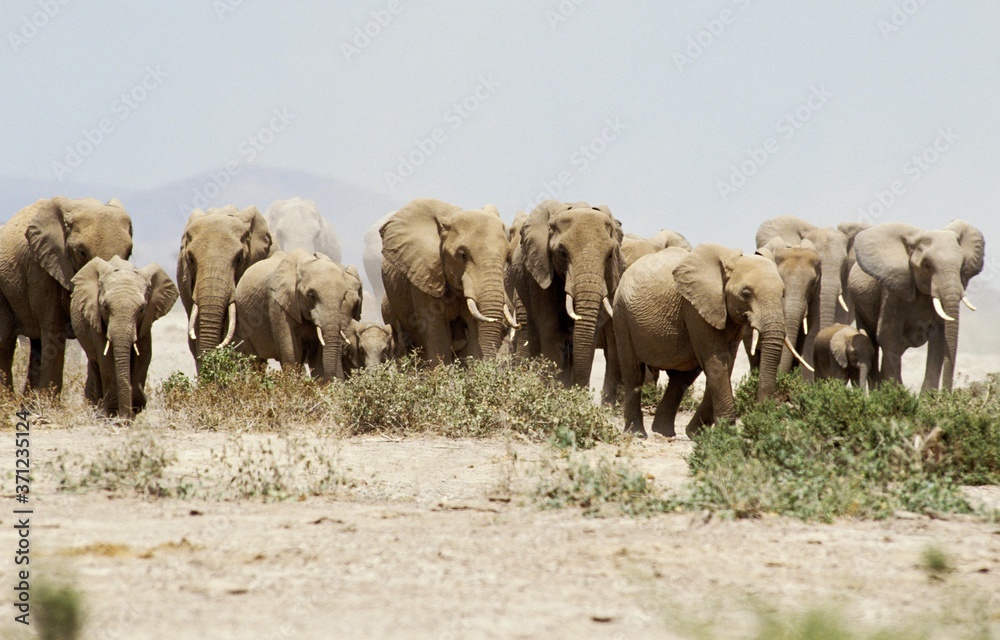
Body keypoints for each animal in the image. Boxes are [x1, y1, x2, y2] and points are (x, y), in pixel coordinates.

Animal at [0, 197, 133, 392]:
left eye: (129, 252)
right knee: (7, 341)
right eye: (82, 252)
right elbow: (54, 333)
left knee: (37, 345)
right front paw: (48, 400)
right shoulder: (42, 269)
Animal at [69, 257, 178, 418]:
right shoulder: (95, 317)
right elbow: (106, 359)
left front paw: (135, 408)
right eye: (105, 307)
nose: (125, 418)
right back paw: (98, 409)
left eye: (142, 309)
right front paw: (114, 414)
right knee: (95, 363)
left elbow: (143, 356)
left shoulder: (146, 322)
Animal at [234, 250, 362, 381]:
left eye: (343, 297)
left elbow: (318, 360)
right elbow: (291, 354)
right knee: (255, 360)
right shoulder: (277, 304)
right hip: (245, 321)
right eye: (311, 295)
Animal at [614, 244, 809, 437]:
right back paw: (637, 433)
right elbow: (717, 360)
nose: (761, 417)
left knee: (682, 377)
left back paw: (664, 432)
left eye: (783, 294)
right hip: (622, 314)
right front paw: (727, 434)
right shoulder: (695, 308)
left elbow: (726, 361)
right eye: (746, 294)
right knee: (633, 372)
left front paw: (697, 433)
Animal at [848, 220, 984, 392]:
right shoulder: (892, 292)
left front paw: (928, 397)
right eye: (927, 265)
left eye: (962, 265)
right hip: (860, 305)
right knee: (871, 340)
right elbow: (888, 336)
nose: (947, 394)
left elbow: (938, 340)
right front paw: (896, 393)